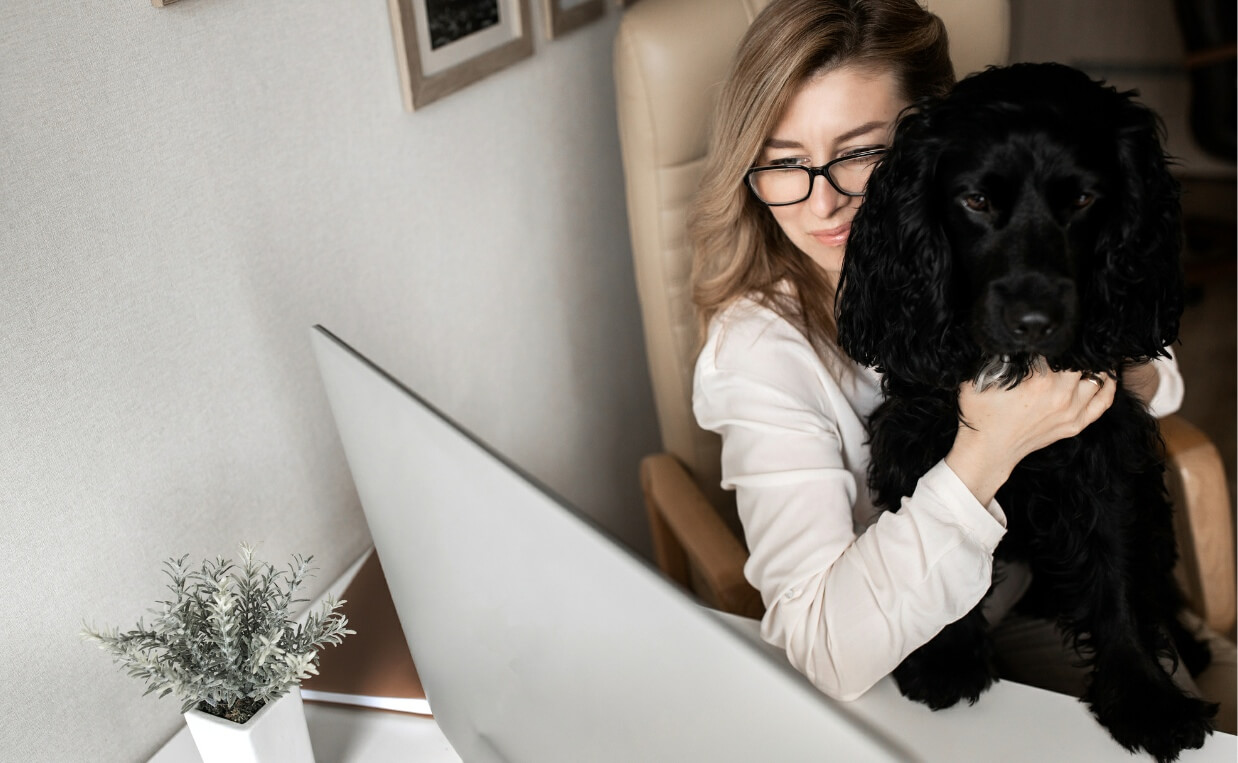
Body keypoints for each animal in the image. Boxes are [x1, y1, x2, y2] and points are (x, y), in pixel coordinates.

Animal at [831, 62, 1218, 758]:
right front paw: (946, 658)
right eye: (976, 202)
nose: (1034, 322)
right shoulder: (921, 439)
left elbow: (1119, 579)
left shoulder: (1105, 456)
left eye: (1085, 201)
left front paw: (1145, 696)